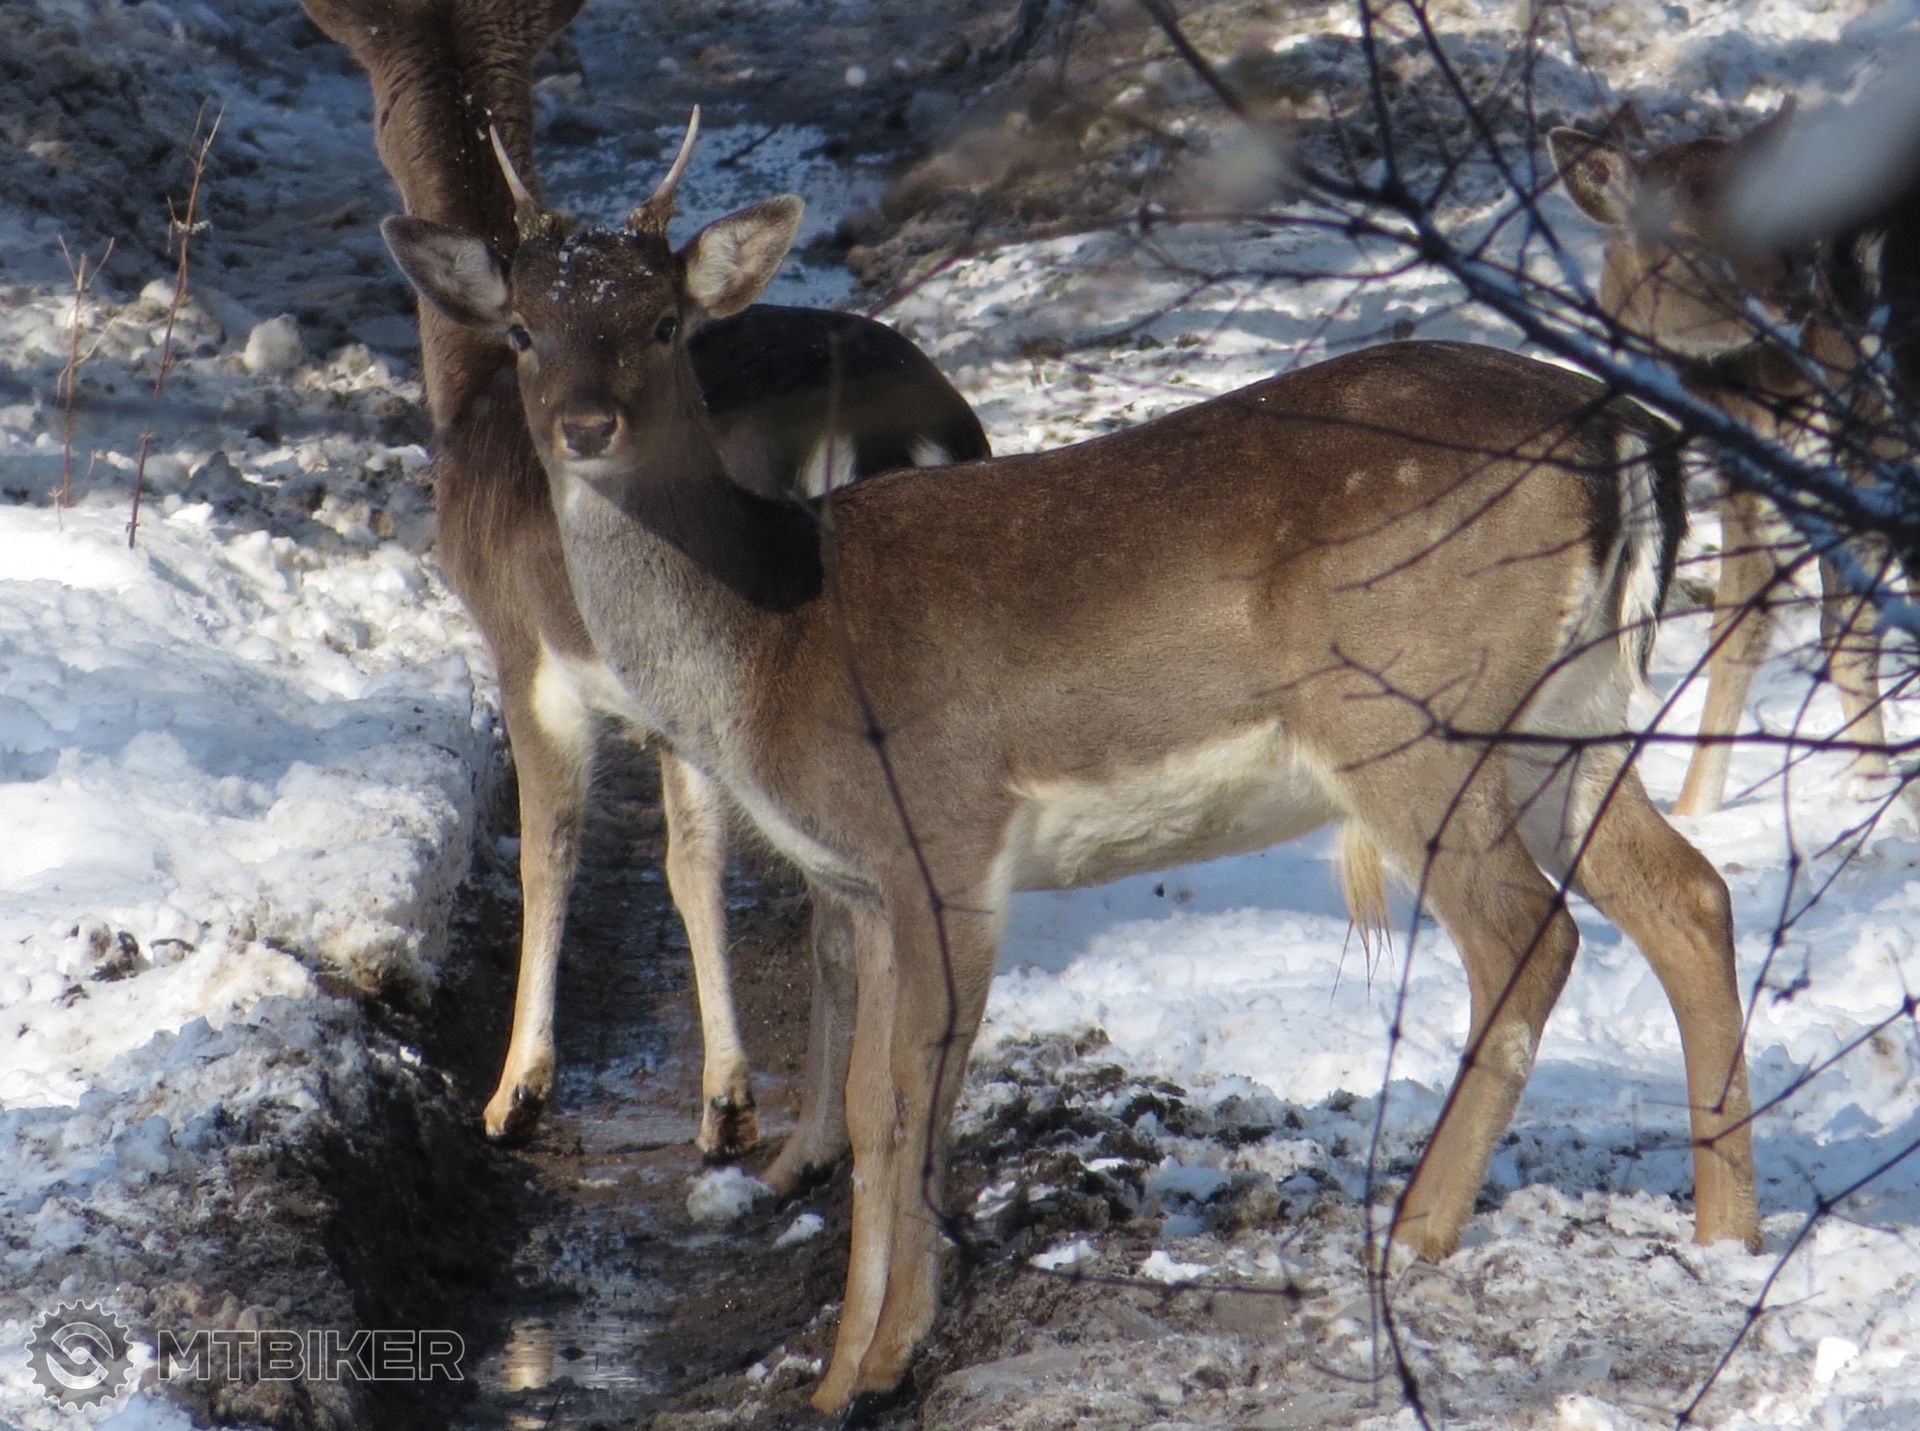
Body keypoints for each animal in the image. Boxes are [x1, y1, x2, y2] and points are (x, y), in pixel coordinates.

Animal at [301, 0, 989, 1158]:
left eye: (664, 323)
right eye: (528, 323)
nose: (585, 426)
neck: (469, 396)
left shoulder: (527, 645)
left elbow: (572, 852)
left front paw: (527, 1092)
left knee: (833, 896)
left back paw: (807, 1138)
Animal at [380, 102, 1763, 1410]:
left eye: (665, 322)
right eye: (524, 329)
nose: (585, 423)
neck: (777, 643)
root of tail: (1633, 445)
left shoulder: (939, 838)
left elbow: (919, 1096)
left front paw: (887, 1358)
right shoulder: (864, 883)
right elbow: (874, 1115)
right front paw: (836, 1374)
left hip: (1418, 719)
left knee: (1531, 936)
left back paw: (1417, 1234)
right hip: (1573, 716)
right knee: (1691, 895)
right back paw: (1730, 1236)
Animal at [1549, 106, 1917, 819]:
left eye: (1774, 217)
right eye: (1683, 238)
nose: (1793, 301)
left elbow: (1765, 634)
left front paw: (1691, 814)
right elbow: (1794, 632)